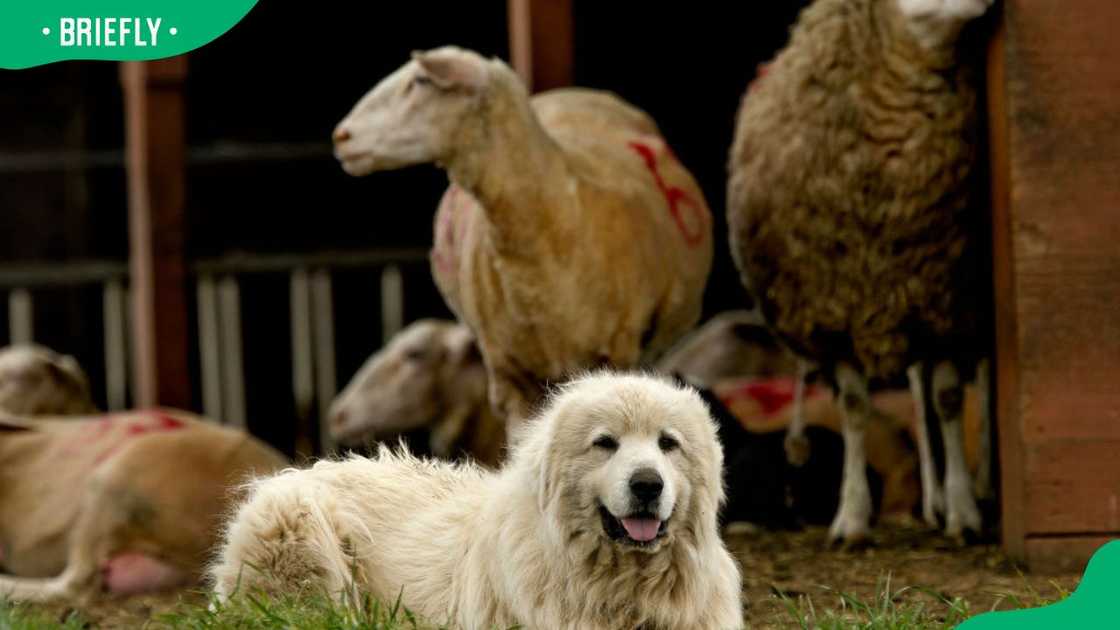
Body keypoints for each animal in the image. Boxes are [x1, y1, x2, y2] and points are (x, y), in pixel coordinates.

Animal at [725, 0, 999, 542]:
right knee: (914, 385)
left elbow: (950, 399)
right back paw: (933, 500)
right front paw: (851, 517)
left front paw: (964, 511)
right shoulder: (837, 315)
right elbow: (854, 408)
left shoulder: (947, 307)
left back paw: (978, 487)